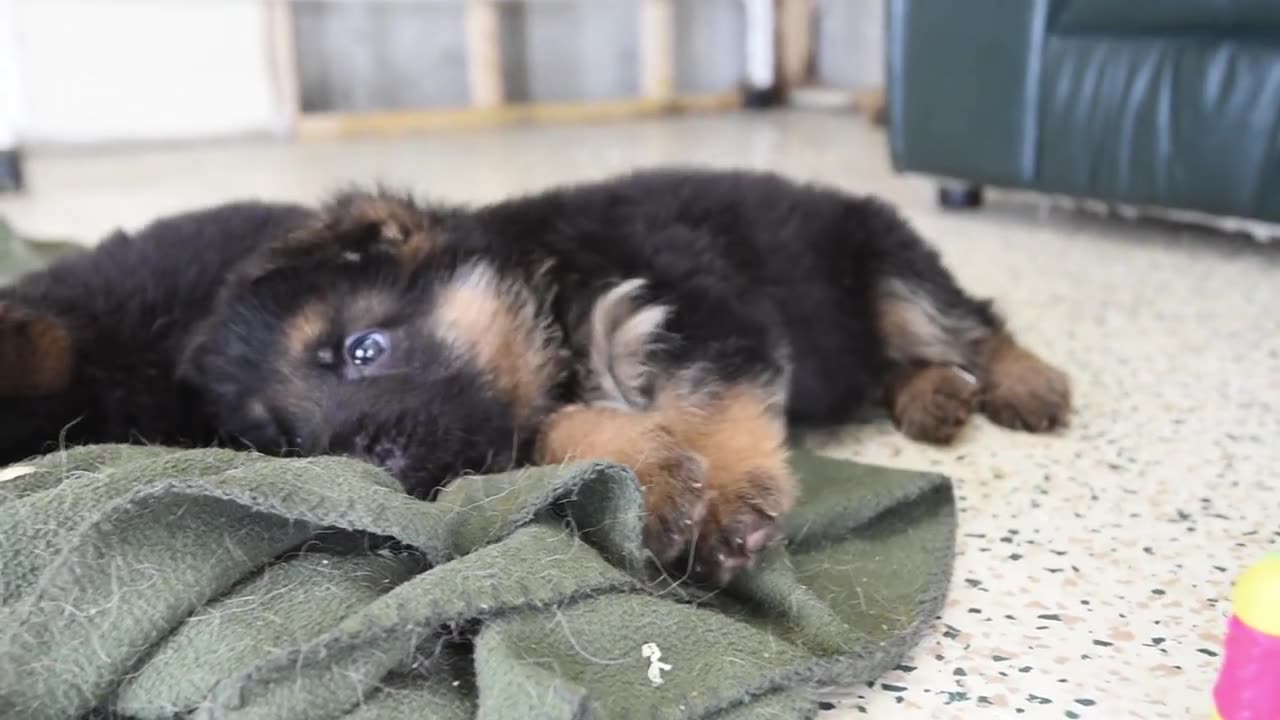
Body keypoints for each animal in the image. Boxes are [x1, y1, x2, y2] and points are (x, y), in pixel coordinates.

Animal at [0, 167, 1070, 584]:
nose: (368, 463)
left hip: (885, 262)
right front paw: (652, 478)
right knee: (911, 358)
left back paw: (1018, 384)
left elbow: (710, 403)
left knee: (970, 321)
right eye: (286, 442)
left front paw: (725, 501)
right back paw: (933, 397)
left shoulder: (703, 313)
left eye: (361, 350)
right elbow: (564, 428)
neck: (552, 290)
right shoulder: (519, 414)